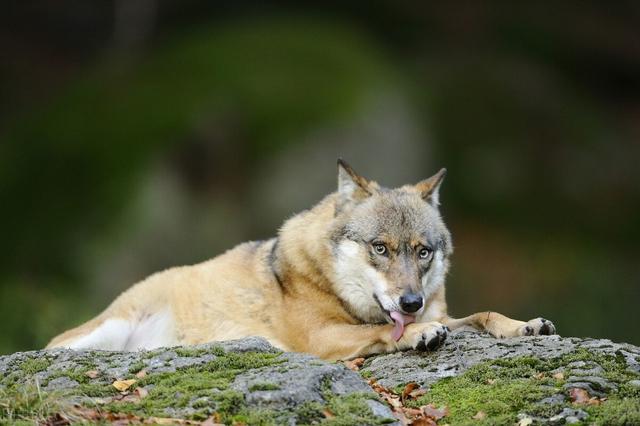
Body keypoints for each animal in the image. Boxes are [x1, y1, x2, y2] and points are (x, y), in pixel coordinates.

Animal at [46, 160, 556, 360]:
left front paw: (525, 326)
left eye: (422, 251)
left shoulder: (446, 311)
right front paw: (418, 334)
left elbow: (484, 314)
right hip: (99, 334)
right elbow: (382, 333)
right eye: (380, 248)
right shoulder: (320, 338)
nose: (411, 303)